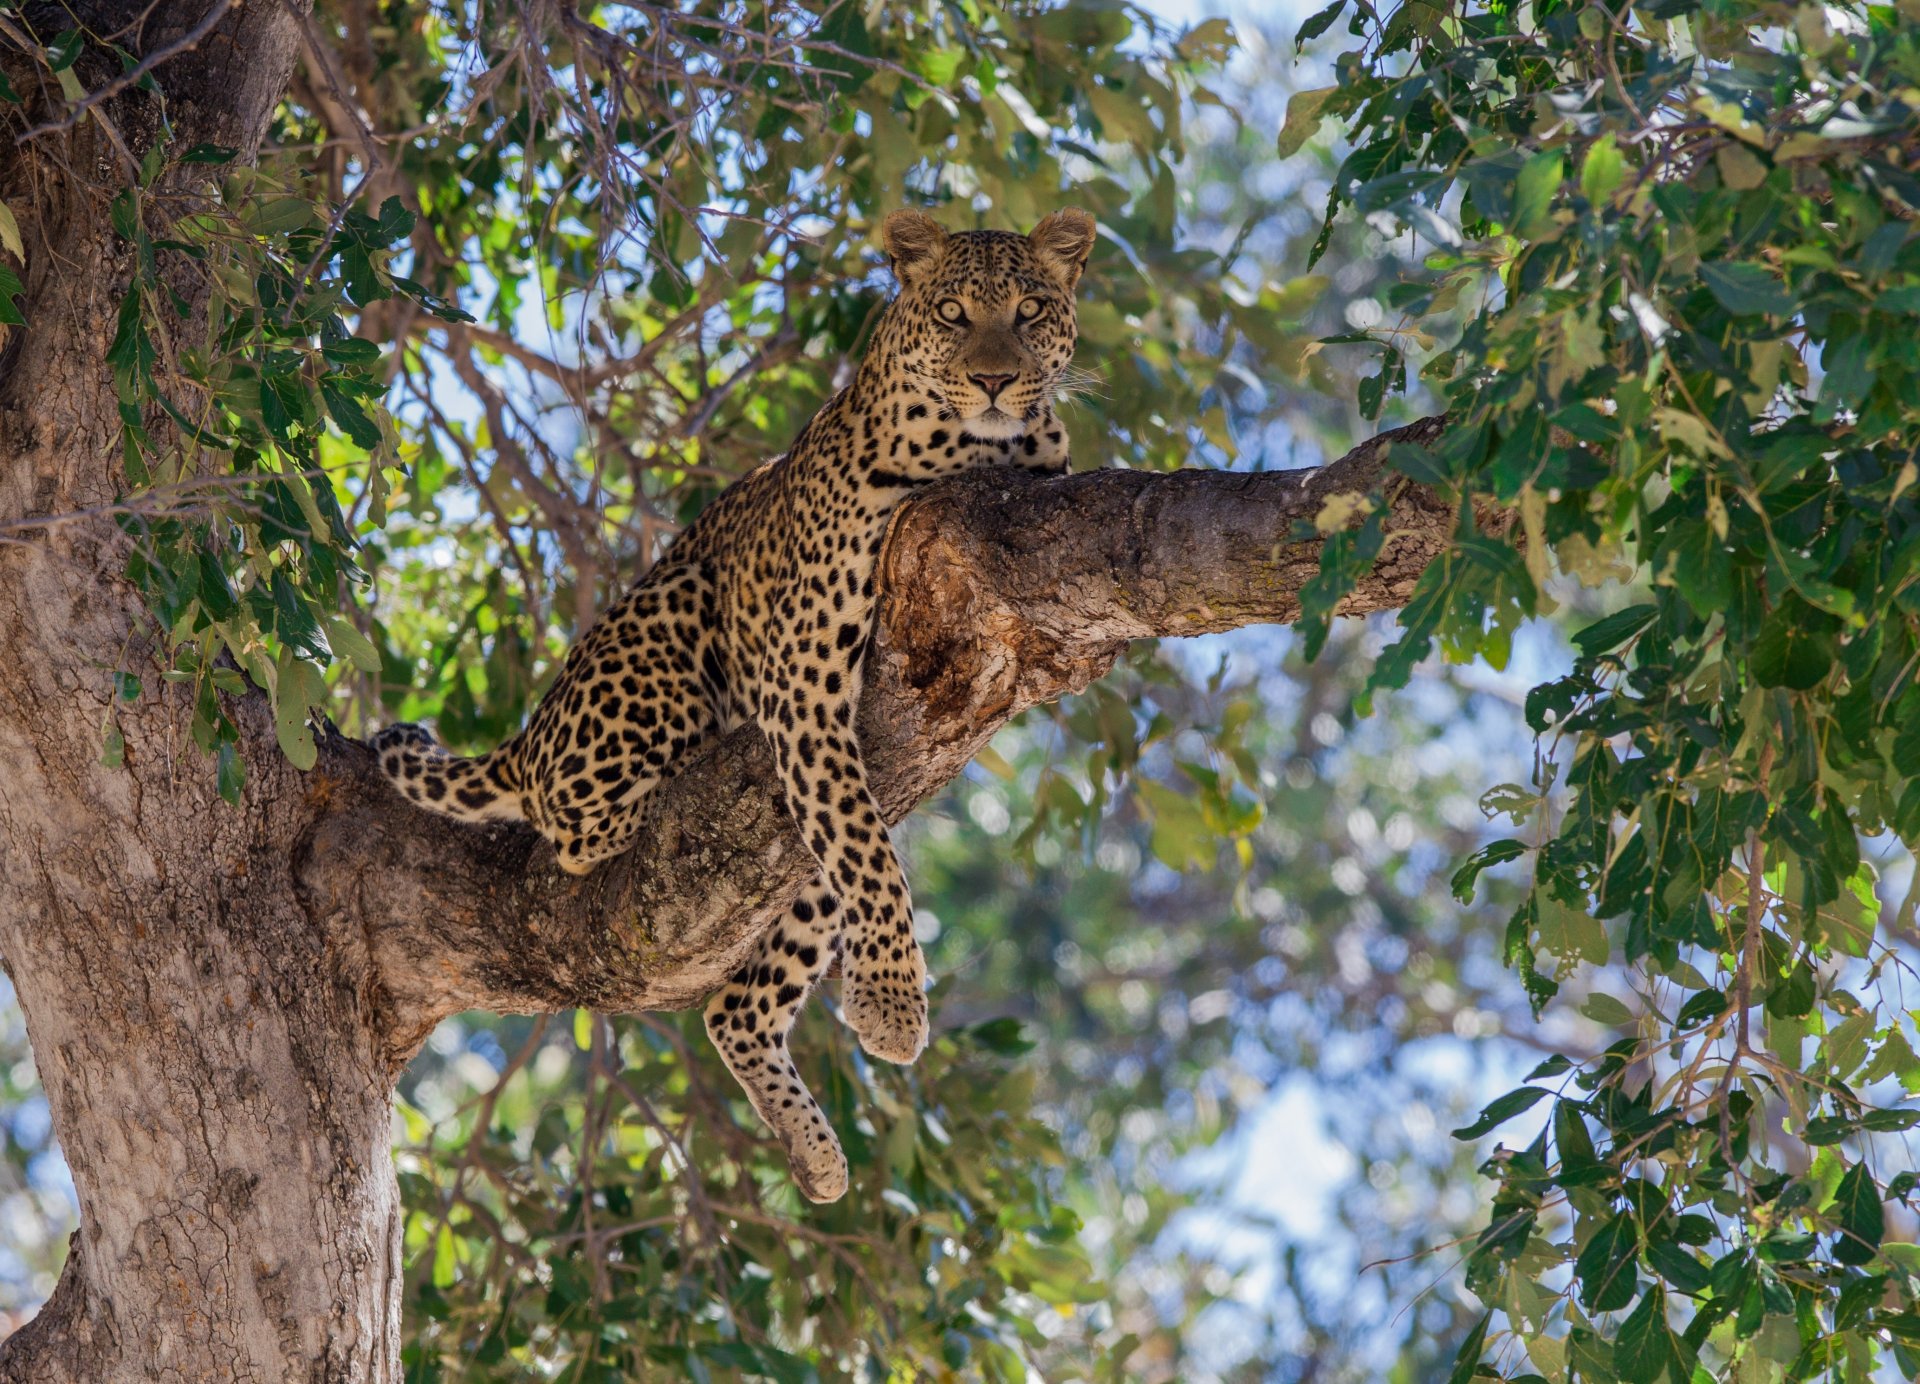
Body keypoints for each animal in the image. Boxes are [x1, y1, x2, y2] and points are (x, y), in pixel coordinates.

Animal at [373, 208, 1094, 1203]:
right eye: (953, 313)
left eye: (1029, 312)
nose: (993, 379)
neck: (983, 450)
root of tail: (530, 730)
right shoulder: (803, 681)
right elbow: (874, 861)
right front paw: (892, 1005)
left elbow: (866, 855)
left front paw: (881, 1005)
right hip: (669, 631)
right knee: (577, 828)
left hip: (799, 862)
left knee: (738, 1004)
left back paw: (814, 1154)